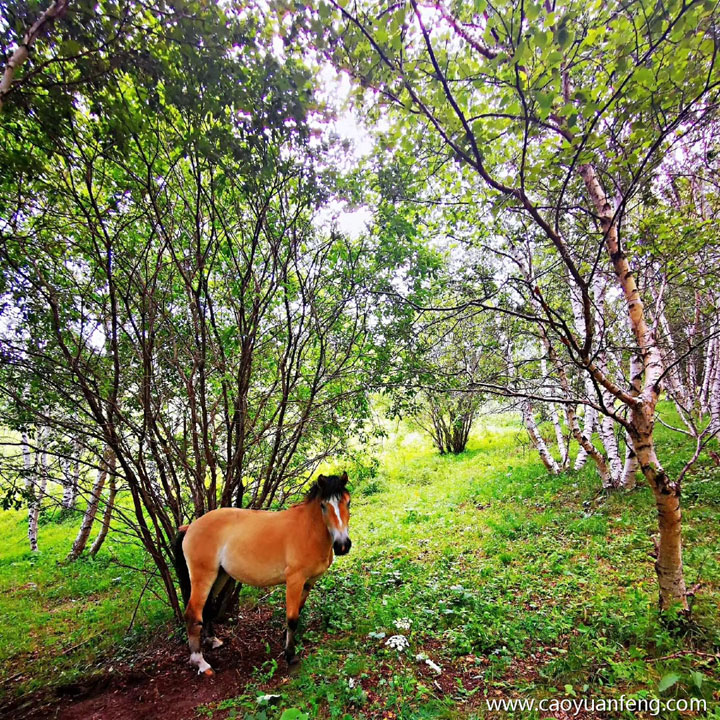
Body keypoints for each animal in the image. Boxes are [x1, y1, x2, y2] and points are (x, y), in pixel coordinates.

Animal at [172, 472, 352, 676]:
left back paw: (213, 641)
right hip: (203, 576)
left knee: (207, 607)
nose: (343, 545)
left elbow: (298, 610)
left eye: (348, 502)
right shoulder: (295, 580)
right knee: (193, 614)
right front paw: (290, 656)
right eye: (323, 505)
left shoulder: (309, 582)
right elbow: (292, 618)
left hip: (220, 575)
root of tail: (190, 527)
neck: (309, 530)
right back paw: (201, 663)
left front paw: (287, 640)